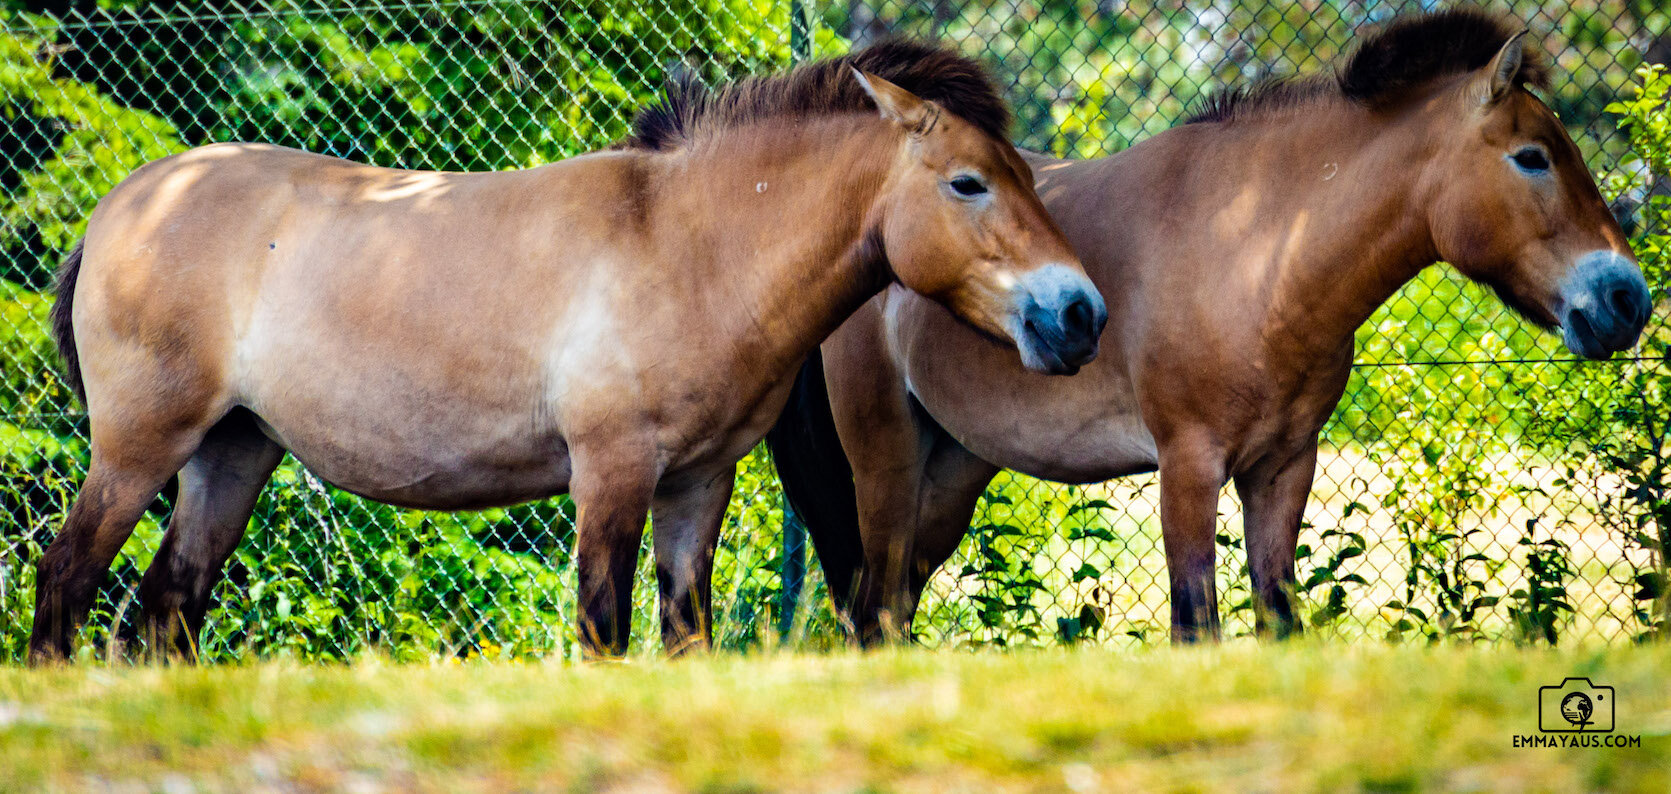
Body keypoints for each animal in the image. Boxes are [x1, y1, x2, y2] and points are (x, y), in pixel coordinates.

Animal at [32, 43, 1102, 665]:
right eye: (967, 182)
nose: (1079, 313)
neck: (685, 244)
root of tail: (121, 207)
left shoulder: (694, 489)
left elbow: (682, 640)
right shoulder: (611, 477)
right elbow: (603, 635)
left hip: (231, 454)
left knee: (164, 610)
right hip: (141, 448)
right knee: (67, 579)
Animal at [772, 10, 1657, 645]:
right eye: (1532, 157)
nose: (1626, 300)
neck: (1260, 254)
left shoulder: (1280, 469)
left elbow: (1276, 619)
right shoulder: (1188, 468)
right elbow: (1195, 626)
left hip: (949, 475)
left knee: (889, 608)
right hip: (886, 464)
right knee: (873, 611)